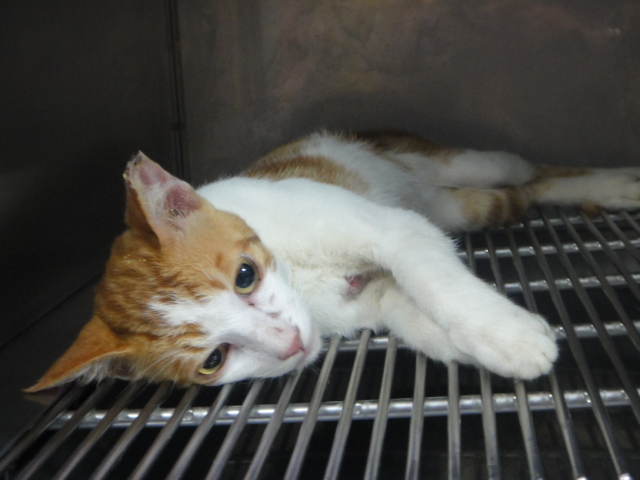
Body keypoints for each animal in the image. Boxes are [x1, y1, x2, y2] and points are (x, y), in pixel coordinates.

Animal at [26, 131, 640, 392]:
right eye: (213, 360)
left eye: (245, 276)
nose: (292, 346)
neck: (301, 277)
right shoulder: (372, 297)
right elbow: (415, 314)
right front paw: (481, 346)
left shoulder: (394, 231)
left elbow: (438, 284)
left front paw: (507, 334)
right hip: (460, 204)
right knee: (525, 191)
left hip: (469, 163)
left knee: (533, 169)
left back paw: (615, 183)